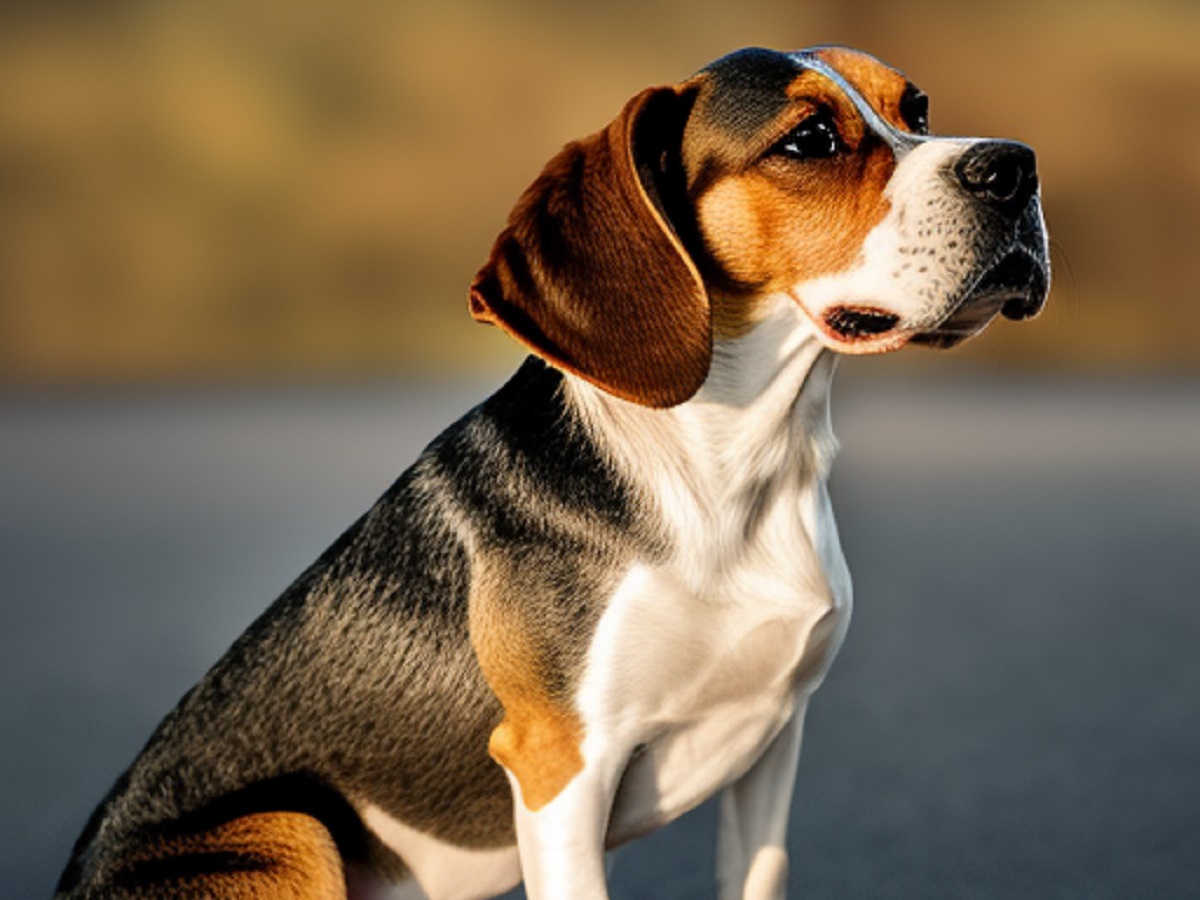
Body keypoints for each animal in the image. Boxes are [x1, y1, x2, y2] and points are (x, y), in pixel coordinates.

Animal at [58, 45, 1051, 897]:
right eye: (809, 140)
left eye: (915, 110)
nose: (1015, 167)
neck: (728, 473)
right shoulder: (563, 765)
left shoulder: (773, 742)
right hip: (288, 829)